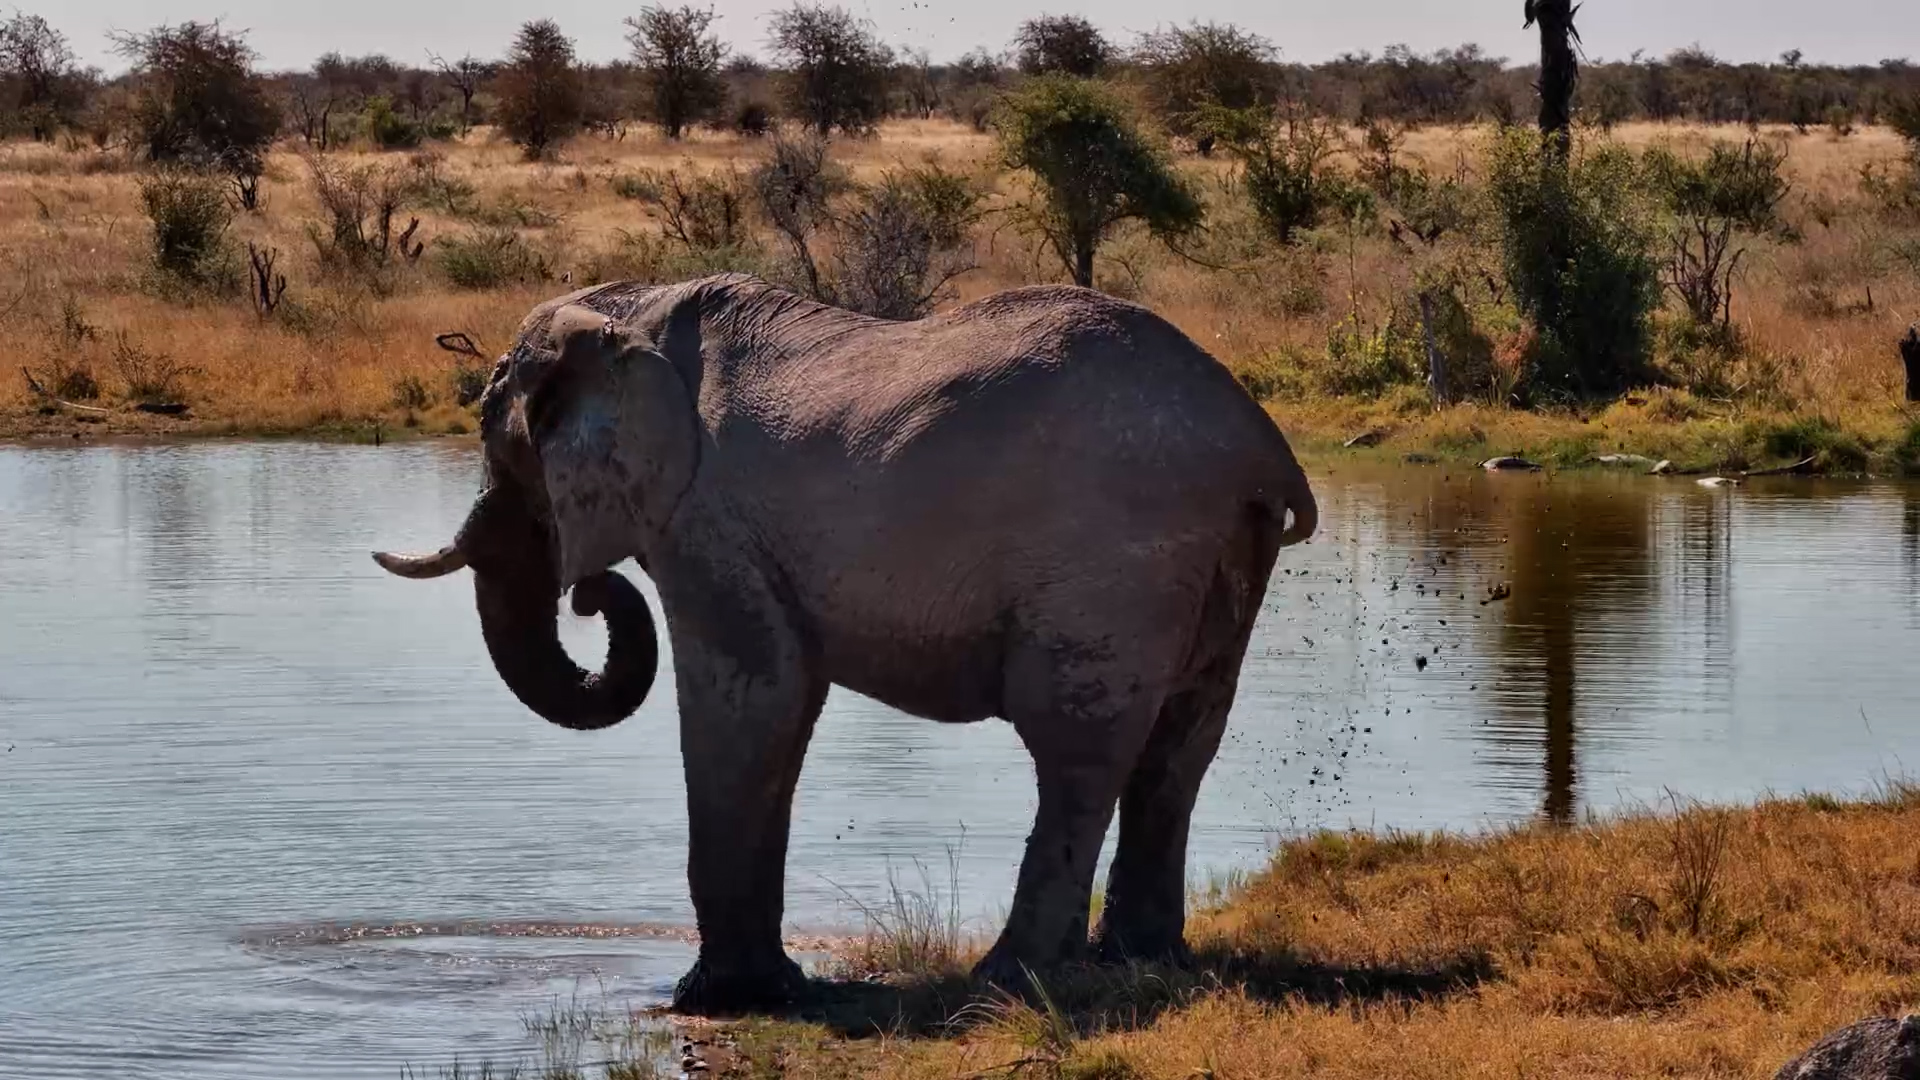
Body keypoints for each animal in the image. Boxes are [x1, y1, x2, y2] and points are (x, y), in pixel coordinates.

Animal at [373, 273, 1317, 1014]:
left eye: (500, 436)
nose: (589, 594)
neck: (625, 313)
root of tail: (1259, 445)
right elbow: (788, 712)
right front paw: (764, 990)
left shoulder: (707, 520)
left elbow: (753, 695)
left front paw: (718, 1000)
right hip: (1216, 555)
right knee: (1179, 745)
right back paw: (1141, 960)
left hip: (1113, 558)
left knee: (1076, 752)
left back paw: (1009, 980)